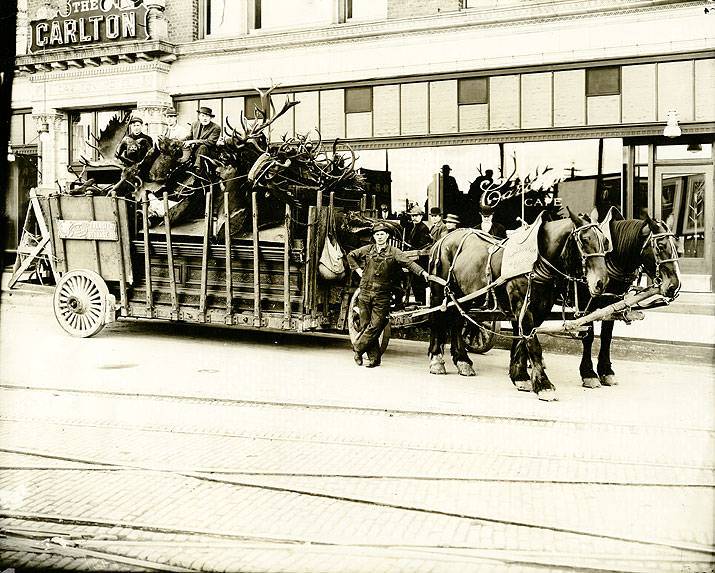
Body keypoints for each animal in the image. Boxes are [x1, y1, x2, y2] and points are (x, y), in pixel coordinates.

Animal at [430, 208, 608, 400]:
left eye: (605, 241)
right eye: (584, 239)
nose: (601, 282)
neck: (536, 261)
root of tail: (444, 239)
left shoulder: (540, 308)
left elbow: (523, 340)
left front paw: (520, 376)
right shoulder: (521, 304)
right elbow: (533, 344)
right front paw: (544, 385)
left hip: (466, 295)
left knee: (456, 322)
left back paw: (462, 361)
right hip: (440, 291)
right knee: (437, 320)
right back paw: (436, 360)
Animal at [580, 212, 680, 386]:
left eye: (676, 243)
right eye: (660, 246)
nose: (675, 284)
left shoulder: (613, 302)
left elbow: (607, 336)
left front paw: (606, 371)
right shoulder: (584, 304)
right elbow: (588, 335)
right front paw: (588, 373)